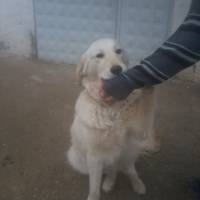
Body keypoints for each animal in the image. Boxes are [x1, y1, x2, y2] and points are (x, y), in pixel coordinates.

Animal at [68, 38, 159, 200]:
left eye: (118, 51)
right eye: (99, 55)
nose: (117, 69)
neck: (112, 107)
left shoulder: (141, 130)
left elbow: (148, 102)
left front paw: (146, 76)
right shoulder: (95, 157)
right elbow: (94, 187)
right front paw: (94, 194)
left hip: (130, 150)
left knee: (128, 169)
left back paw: (137, 183)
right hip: (75, 157)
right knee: (112, 171)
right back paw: (108, 183)